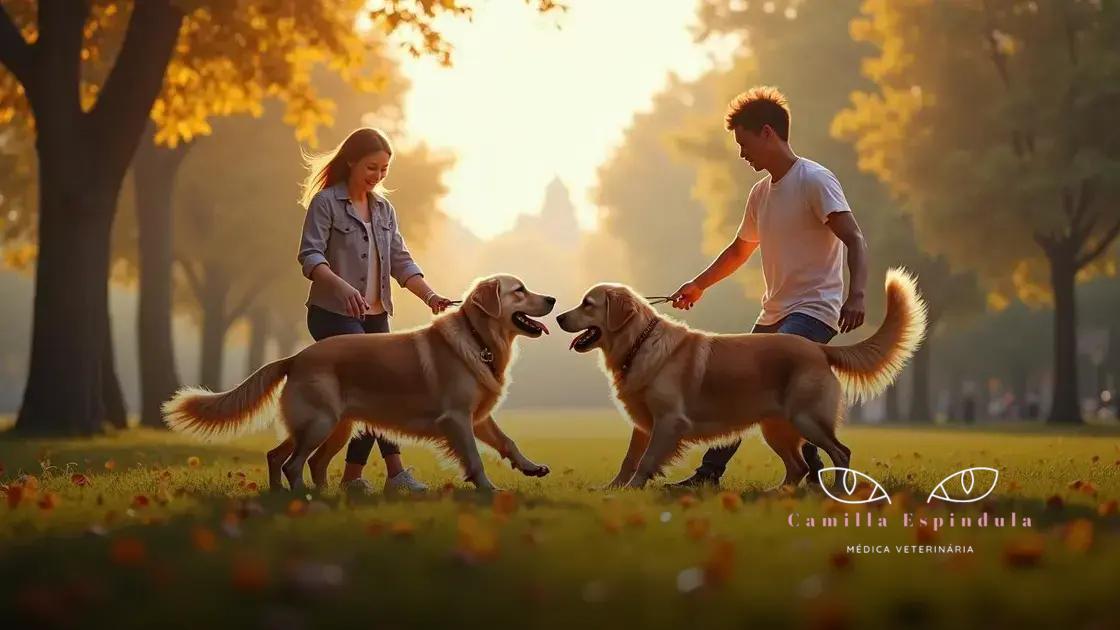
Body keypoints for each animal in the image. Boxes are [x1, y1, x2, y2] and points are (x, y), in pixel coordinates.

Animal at [162, 273, 555, 490]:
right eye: (519, 290)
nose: (552, 298)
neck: (477, 338)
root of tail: (295, 358)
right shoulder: (456, 418)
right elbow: (474, 458)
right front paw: (490, 491)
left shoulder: (479, 417)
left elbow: (507, 442)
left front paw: (530, 466)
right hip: (321, 422)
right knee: (294, 463)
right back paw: (305, 498)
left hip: (335, 426)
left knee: (289, 458)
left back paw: (296, 496)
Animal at [553, 266, 927, 488]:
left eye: (588, 303)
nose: (558, 317)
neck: (640, 343)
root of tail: (818, 349)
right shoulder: (645, 424)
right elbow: (630, 458)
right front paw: (614, 490)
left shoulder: (670, 421)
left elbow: (645, 461)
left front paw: (632, 490)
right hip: (776, 427)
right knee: (799, 466)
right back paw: (780, 495)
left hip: (806, 418)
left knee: (840, 453)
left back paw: (835, 492)